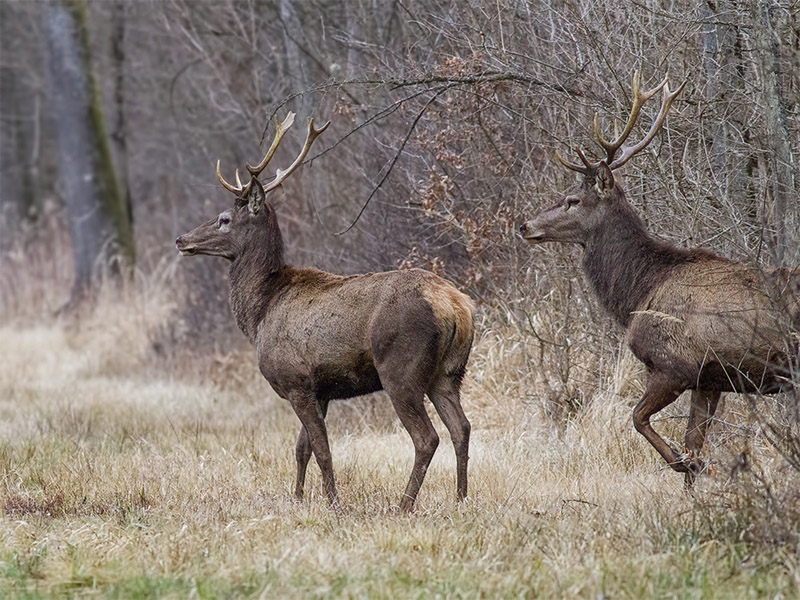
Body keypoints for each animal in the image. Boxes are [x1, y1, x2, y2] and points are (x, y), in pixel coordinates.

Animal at [176, 113, 476, 510]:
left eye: (224, 218)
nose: (181, 239)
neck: (260, 312)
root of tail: (457, 307)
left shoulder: (296, 380)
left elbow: (321, 448)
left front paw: (333, 502)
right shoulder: (320, 390)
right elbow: (301, 448)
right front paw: (298, 497)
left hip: (402, 368)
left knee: (427, 437)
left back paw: (404, 504)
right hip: (449, 372)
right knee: (462, 428)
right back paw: (461, 499)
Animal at [520, 74, 796, 488]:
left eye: (572, 200)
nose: (524, 225)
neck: (641, 290)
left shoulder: (673, 364)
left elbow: (638, 418)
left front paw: (684, 464)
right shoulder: (709, 380)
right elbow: (693, 440)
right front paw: (694, 482)